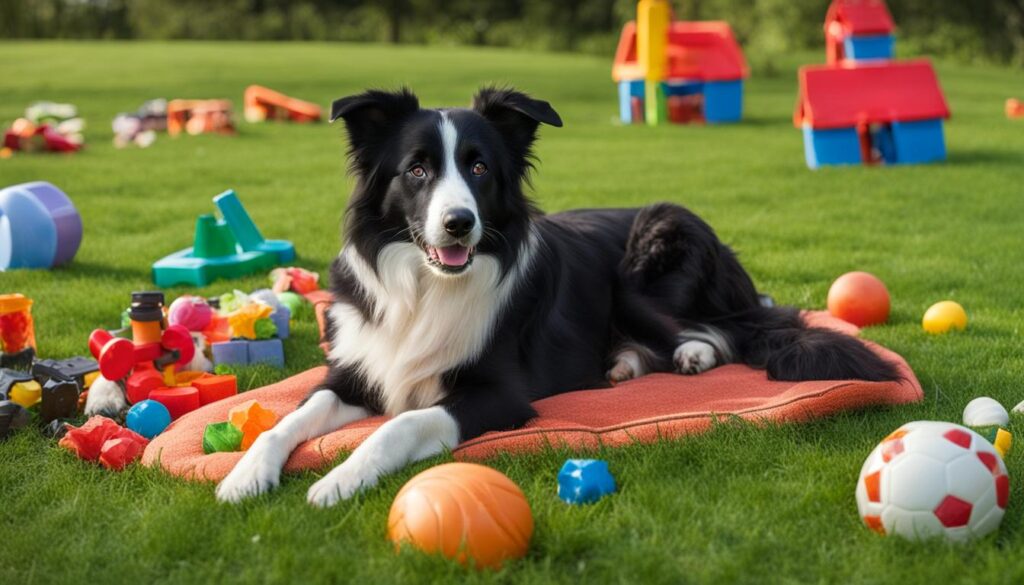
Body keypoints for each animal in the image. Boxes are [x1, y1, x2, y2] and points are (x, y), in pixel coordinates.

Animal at [216, 87, 897, 508]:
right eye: (416, 169)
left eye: (480, 167)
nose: (459, 224)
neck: (428, 284)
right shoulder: (354, 369)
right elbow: (288, 419)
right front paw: (246, 473)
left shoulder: (498, 393)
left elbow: (400, 423)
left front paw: (340, 479)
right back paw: (624, 363)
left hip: (649, 248)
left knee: (723, 329)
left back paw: (688, 357)